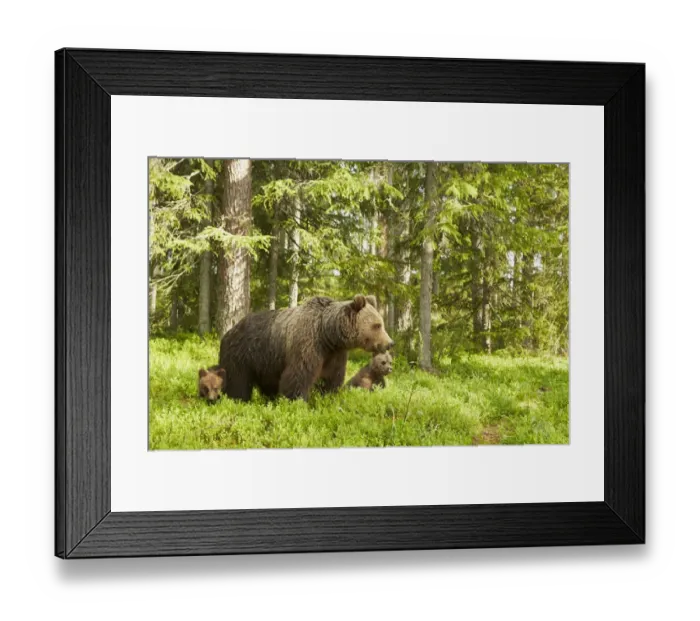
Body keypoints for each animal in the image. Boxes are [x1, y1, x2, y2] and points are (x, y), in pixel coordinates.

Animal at [218, 294, 394, 402]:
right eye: (377, 325)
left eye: (381, 323)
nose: (390, 343)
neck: (327, 334)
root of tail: (229, 331)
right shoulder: (307, 344)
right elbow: (298, 376)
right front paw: (296, 401)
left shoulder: (335, 354)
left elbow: (333, 377)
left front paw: (329, 396)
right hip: (242, 354)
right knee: (237, 381)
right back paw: (237, 399)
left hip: (265, 362)